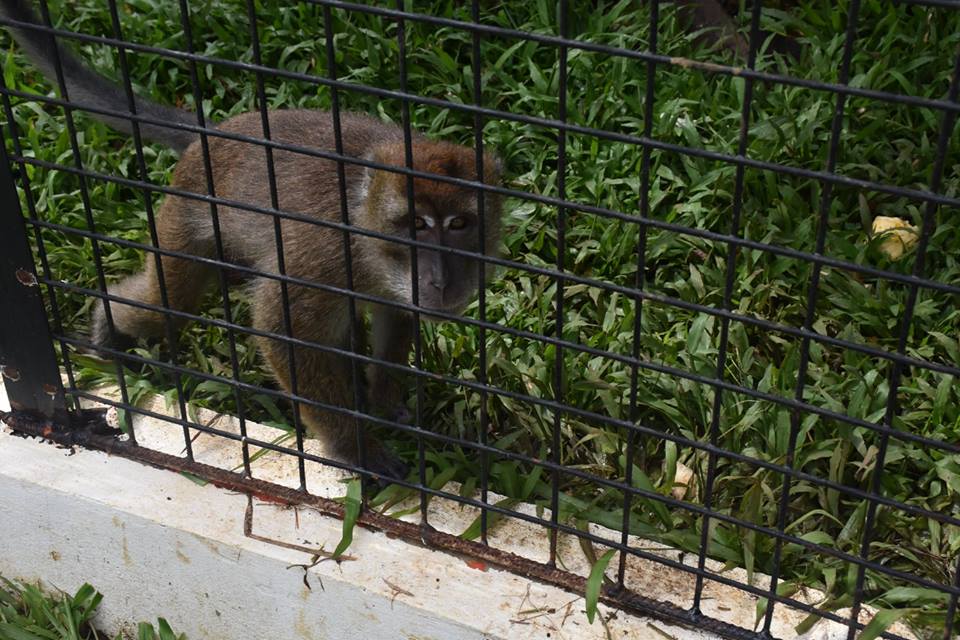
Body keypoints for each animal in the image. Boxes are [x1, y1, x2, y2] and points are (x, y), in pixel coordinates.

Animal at [0, 1, 506, 480]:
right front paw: (355, 447)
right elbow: (279, 328)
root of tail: (215, 133)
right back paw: (109, 323)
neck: (367, 243)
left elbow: (394, 316)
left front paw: (383, 399)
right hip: (186, 214)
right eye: (417, 224)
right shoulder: (319, 258)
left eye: (459, 224)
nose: (441, 278)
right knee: (170, 301)